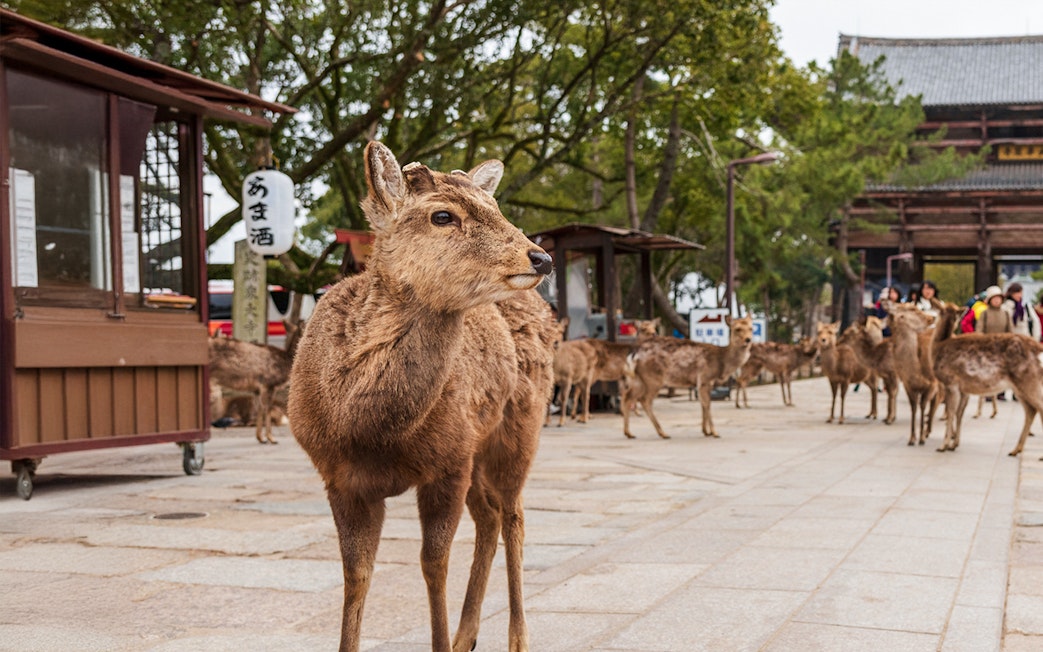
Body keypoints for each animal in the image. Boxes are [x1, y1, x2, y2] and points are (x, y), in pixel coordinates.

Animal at [287, 142, 557, 652]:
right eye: (442, 215)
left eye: (496, 207)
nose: (540, 258)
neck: (370, 432)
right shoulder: (339, 478)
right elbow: (356, 575)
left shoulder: (448, 464)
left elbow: (433, 565)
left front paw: (442, 637)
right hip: (477, 450)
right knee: (490, 516)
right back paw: (467, 635)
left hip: (519, 430)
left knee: (513, 515)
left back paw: (517, 638)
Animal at [621, 315, 754, 439]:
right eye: (737, 329)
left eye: (751, 328)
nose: (748, 339)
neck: (721, 362)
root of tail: (634, 353)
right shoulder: (705, 378)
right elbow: (707, 404)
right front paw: (714, 432)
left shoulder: (704, 382)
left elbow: (703, 404)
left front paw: (706, 431)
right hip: (653, 378)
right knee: (644, 400)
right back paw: (663, 433)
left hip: (637, 379)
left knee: (628, 396)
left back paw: (629, 433)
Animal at [930, 300, 1043, 456]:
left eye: (938, 313)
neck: (939, 346)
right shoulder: (964, 389)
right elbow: (959, 414)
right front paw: (954, 444)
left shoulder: (951, 382)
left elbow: (951, 412)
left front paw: (943, 446)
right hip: (1020, 387)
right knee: (1031, 411)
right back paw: (1015, 450)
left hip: (1029, 380)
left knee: (1038, 408)